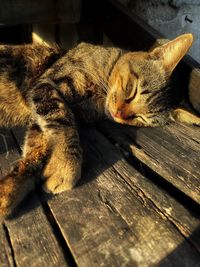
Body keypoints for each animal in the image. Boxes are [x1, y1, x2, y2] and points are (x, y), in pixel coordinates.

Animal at [0, 33, 199, 218]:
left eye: (139, 118)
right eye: (133, 91)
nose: (119, 115)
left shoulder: (42, 115)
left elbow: (35, 151)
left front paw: (10, 190)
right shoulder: (47, 86)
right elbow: (64, 127)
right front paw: (66, 166)